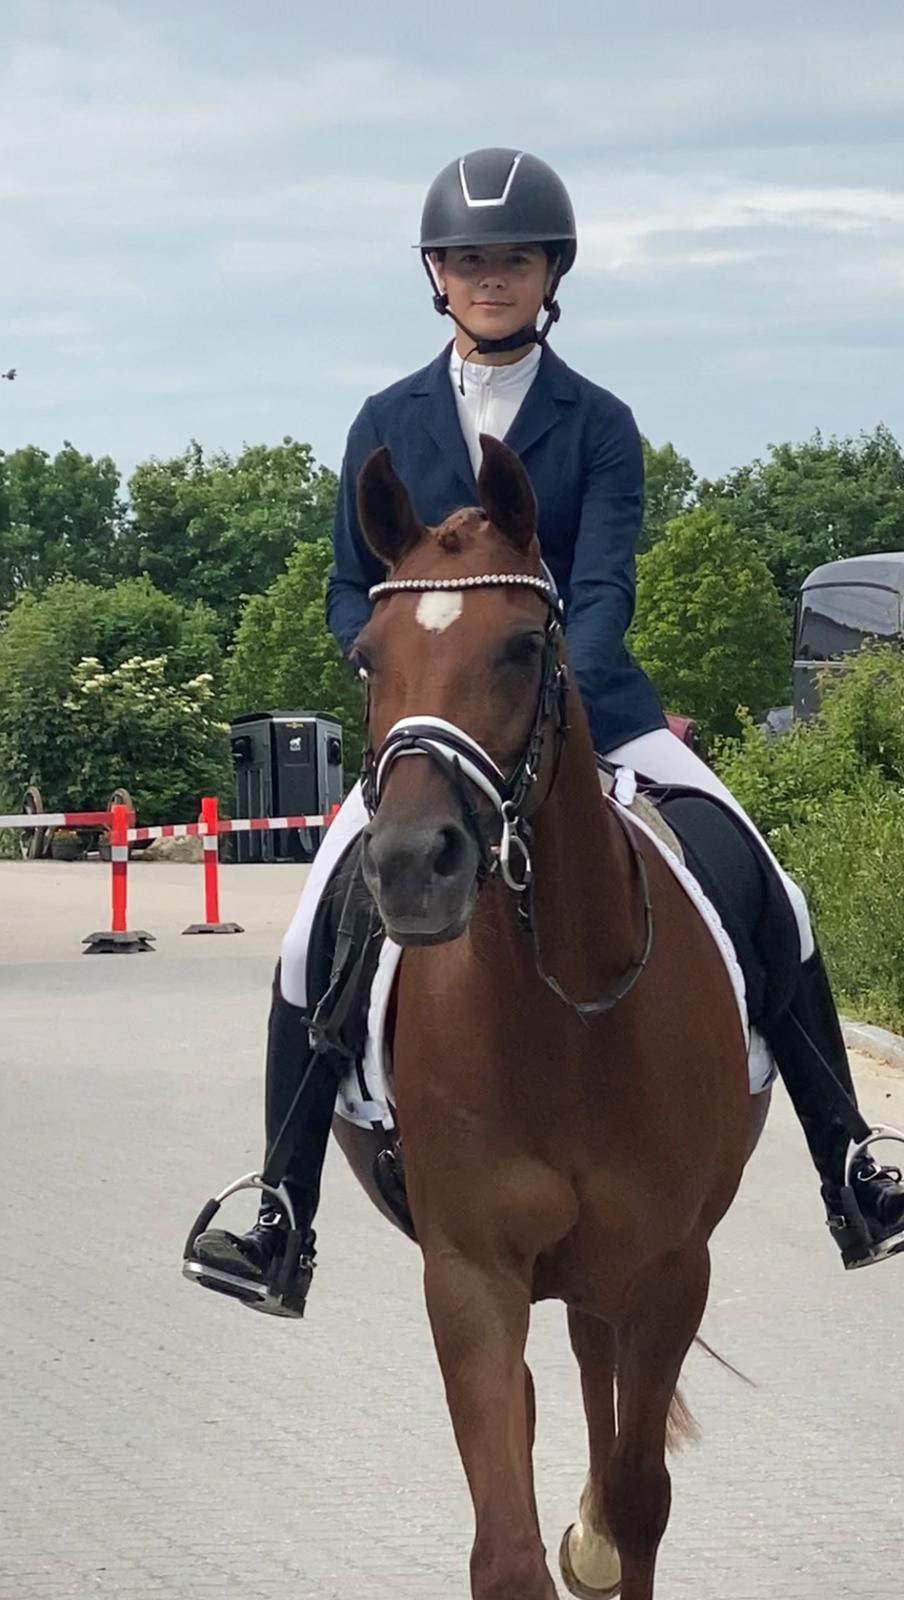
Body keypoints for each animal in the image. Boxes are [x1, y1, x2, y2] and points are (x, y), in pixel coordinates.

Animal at [331, 438, 768, 1600]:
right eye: (366, 657)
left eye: (525, 645)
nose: (411, 865)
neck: (566, 1014)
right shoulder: (470, 1275)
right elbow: (507, 1546)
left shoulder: (670, 1270)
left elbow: (641, 1499)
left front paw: (606, 1537)